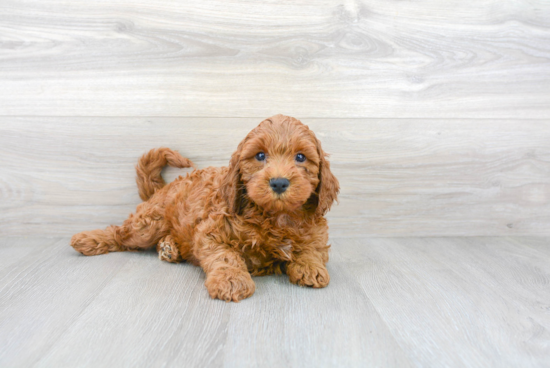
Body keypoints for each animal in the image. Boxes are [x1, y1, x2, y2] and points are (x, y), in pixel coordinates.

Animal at [72, 115, 340, 302]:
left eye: (301, 157)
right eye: (260, 156)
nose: (279, 182)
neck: (275, 217)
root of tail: (162, 189)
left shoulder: (316, 231)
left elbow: (313, 249)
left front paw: (311, 267)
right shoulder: (212, 232)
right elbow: (226, 256)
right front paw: (231, 280)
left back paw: (169, 248)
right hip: (147, 224)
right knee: (121, 233)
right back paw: (88, 239)